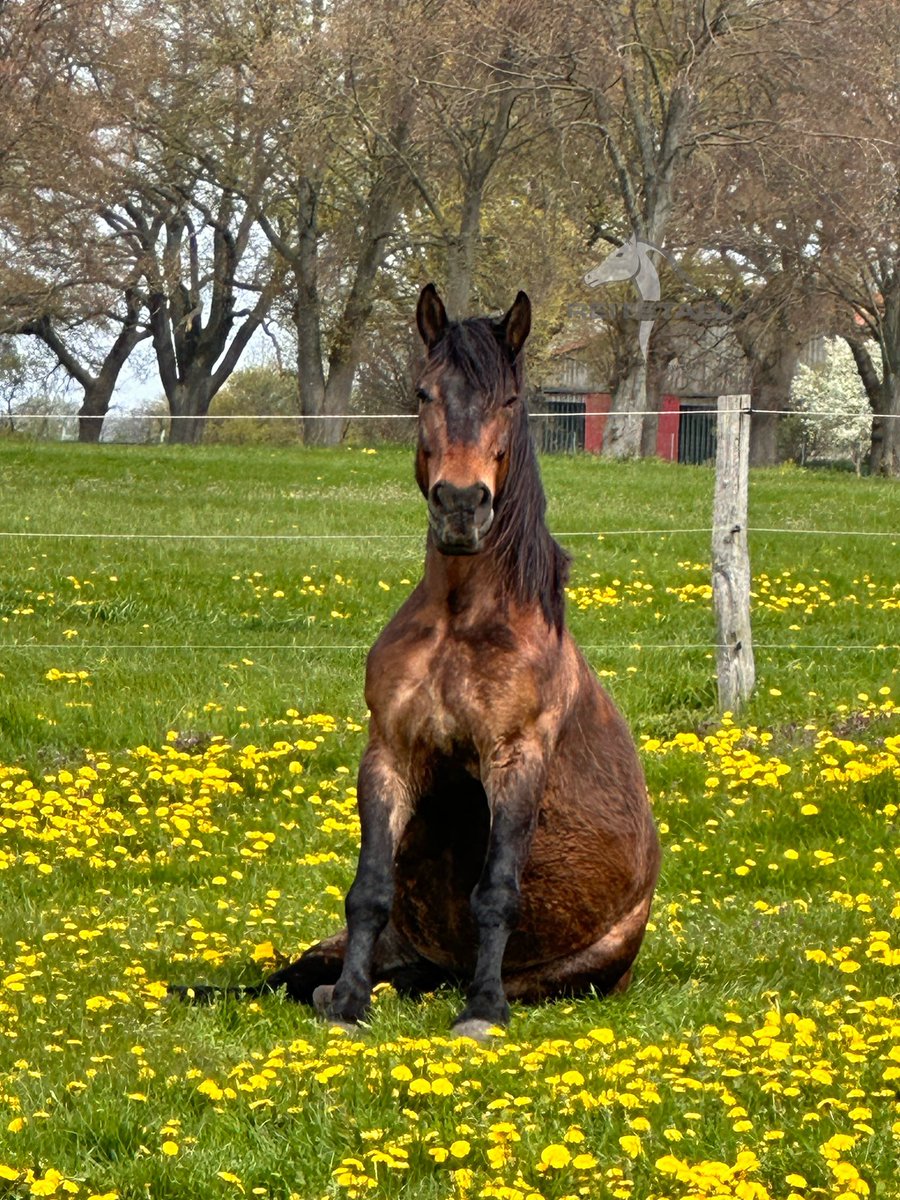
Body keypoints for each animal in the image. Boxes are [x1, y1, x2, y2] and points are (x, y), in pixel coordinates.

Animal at [171, 285, 660, 1039]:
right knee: (294, 976)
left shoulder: (515, 758)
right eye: (424, 393)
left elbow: (496, 889)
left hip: (581, 970)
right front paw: (349, 1004)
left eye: (510, 400)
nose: (461, 505)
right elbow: (369, 887)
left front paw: (481, 1011)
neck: (463, 622)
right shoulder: (392, 752)